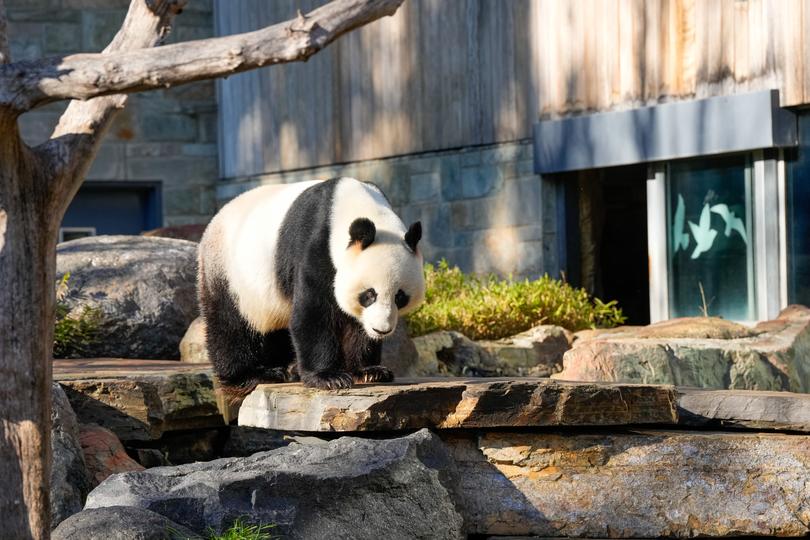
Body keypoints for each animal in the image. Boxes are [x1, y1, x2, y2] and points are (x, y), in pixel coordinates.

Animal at [197, 177, 422, 392]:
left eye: (400, 297)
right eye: (369, 295)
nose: (381, 330)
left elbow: (356, 322)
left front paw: (370, 371)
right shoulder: (316, 246)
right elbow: (313, 312)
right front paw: (329, 377)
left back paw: (286, 369)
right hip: (229, 273)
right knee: (231, 324)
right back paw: (251, 375)